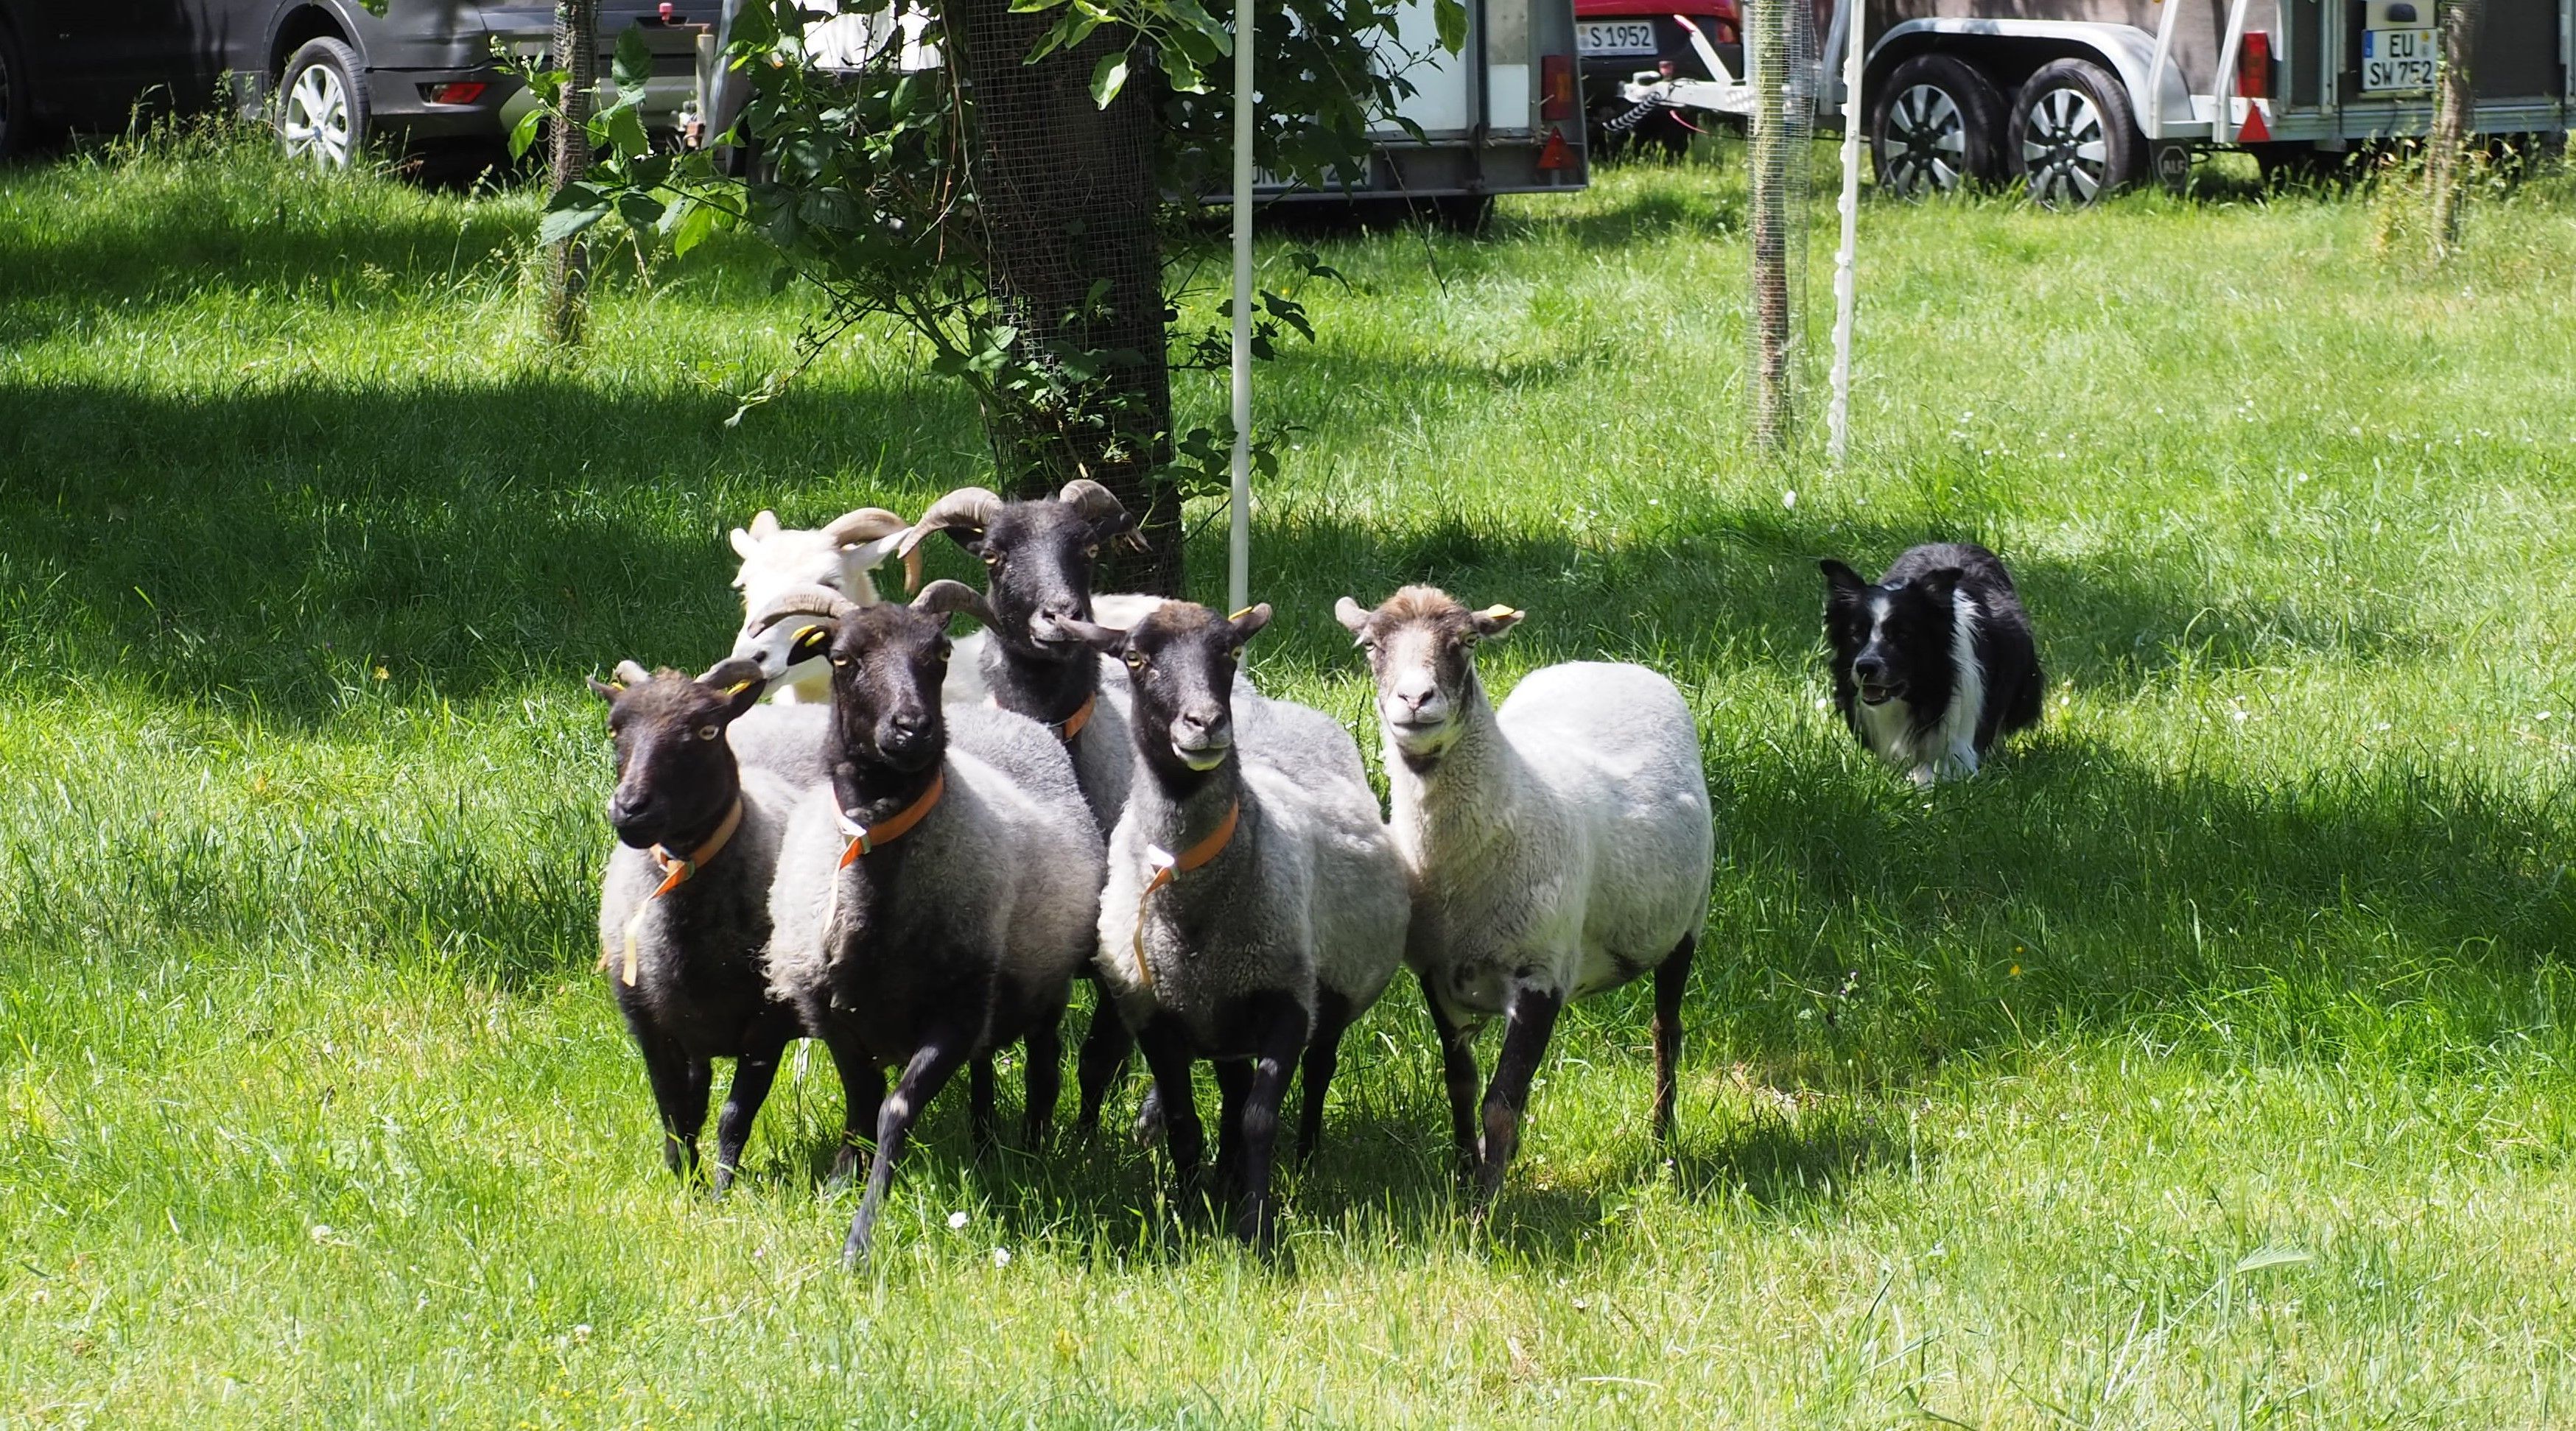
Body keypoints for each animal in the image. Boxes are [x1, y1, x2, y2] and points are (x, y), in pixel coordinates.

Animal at [588, 656, 875, 1192]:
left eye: (706, 729)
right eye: (614, 728)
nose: (631, 809)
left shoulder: (767, 1024)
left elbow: (734, 1116)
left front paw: (722, 1191)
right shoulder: (651, 1024)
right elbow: (676, 1111)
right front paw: (685, 1183)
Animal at [761, 581, 1105, 1268]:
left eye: (939, 652)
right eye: (842, 658)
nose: (912, 728)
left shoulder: (954, 1012)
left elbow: (893, 1110)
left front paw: (860, 1235)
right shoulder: (832, 1015)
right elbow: (861, 1103)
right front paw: (838, 1181)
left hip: (1038, 977)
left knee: (1042, 1062)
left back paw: (1030, 1149)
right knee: (984, 1067)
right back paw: (984, 1143)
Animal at [1075, 601, 1409, 1247]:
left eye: (1229, 651)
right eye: (1135, 658)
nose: (1205, 723)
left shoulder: (1287, 997)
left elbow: (1259, 1118)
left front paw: (1256, 1226)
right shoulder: (1152, 1011)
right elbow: (1185, 1119)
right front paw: (1189, 1213)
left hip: (1332, 987)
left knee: (1317, 1069)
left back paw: (1302, 1160)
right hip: (1221, 1013)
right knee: (1232, 1087)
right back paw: (1224, 1179)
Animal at [1334, 587, 1714, 1199]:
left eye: (1465, 642)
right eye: (1370, 645)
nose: (1414, 699)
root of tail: (1606, 663)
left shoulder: (1539, 977)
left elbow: (1499, 1103)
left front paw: (1485, 1205)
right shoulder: (1436, 972)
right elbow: (1462, 1083)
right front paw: (1466, 1172)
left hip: (1687, 922)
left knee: (1666, 1032)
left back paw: (1661, 1143)